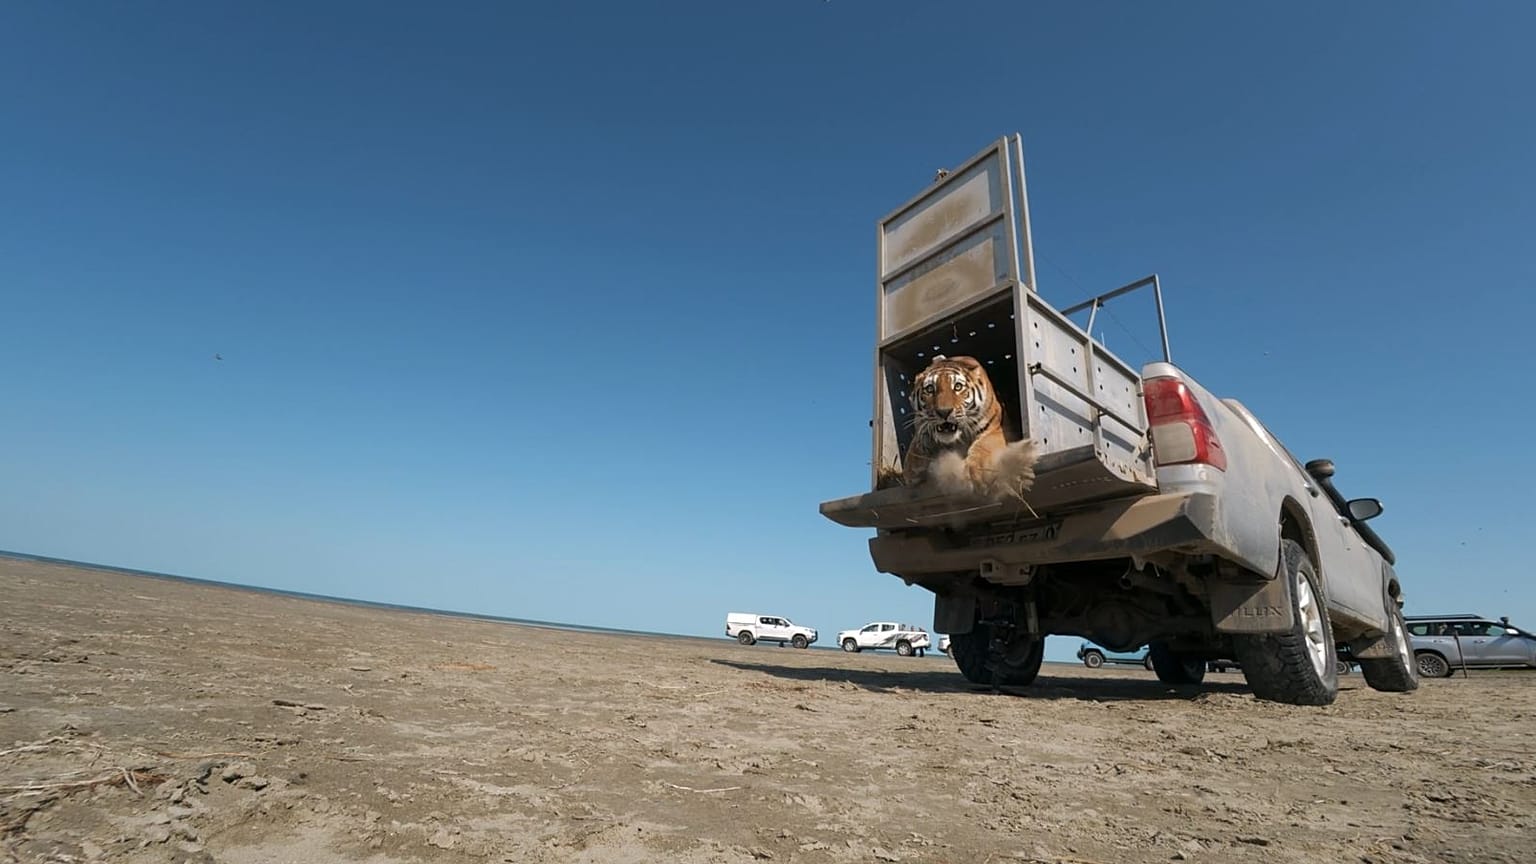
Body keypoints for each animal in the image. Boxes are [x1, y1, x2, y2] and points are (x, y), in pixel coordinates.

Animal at [892, 354, 1037, 500]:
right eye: (930, 389)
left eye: (957, 387)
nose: (944, 412)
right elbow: (916, 450)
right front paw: (913, 468)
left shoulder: (994, 430)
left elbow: (983, 447)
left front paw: (980, 474)